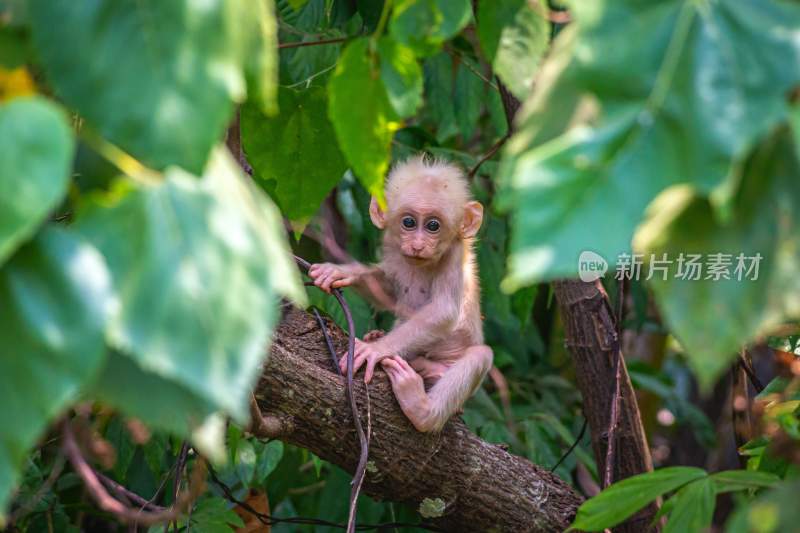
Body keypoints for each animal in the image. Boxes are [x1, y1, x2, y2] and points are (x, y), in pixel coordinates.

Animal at [308, 156, 490, 430]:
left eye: (433, 226)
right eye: (409, 222)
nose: (418, 245)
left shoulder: (455, 254)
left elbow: (445, 311)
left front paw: (376, 350)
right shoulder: (392, 245)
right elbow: (389, 291)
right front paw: (341, 272)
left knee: (480, 355)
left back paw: (421, 409)